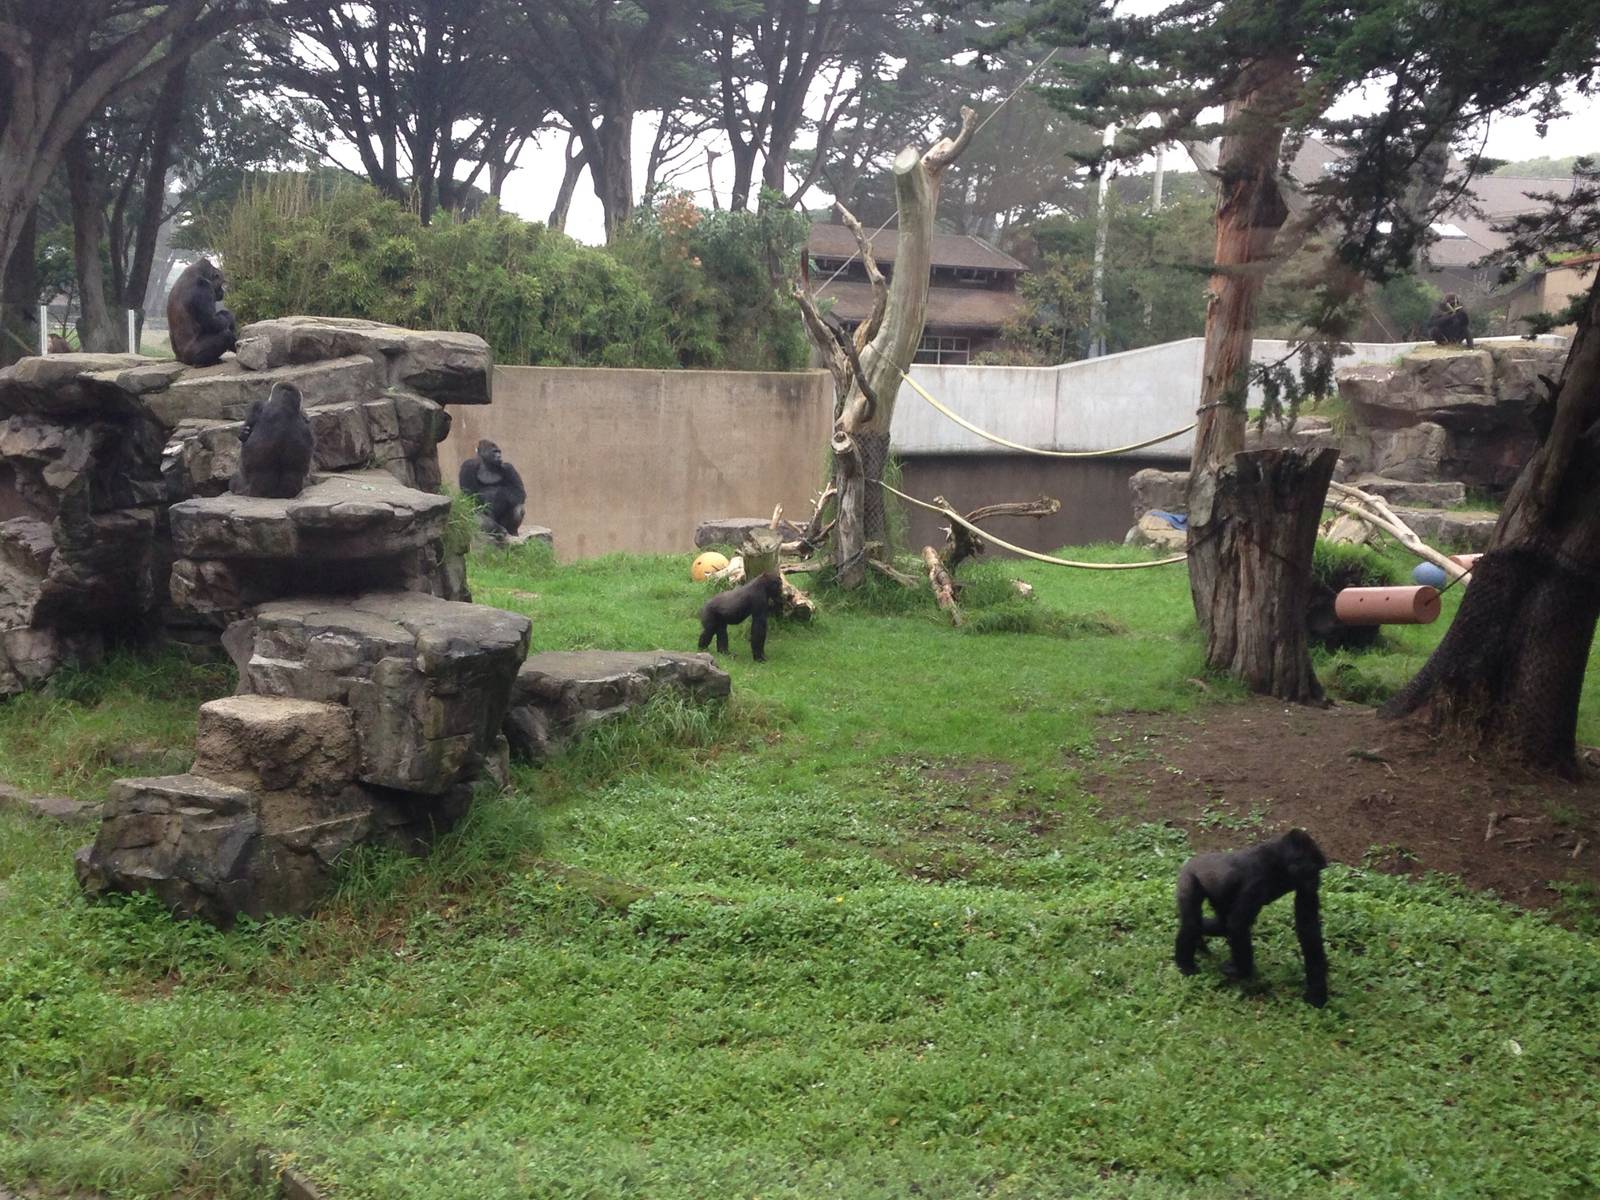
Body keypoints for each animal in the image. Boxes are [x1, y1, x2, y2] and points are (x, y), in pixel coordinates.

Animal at [1174, 828, 1329, 1007]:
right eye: (1315, 870)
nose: (1318, 882)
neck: (1280, 858)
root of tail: (1189, 862)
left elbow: (1308, 929)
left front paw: (1316, 995)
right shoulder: (1257, 879)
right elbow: (1238, 925)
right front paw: (1242, 972)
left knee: (1217, 925)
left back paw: (1199, 942)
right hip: (1188, 877)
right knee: (1193, 923)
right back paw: (1185, 966)